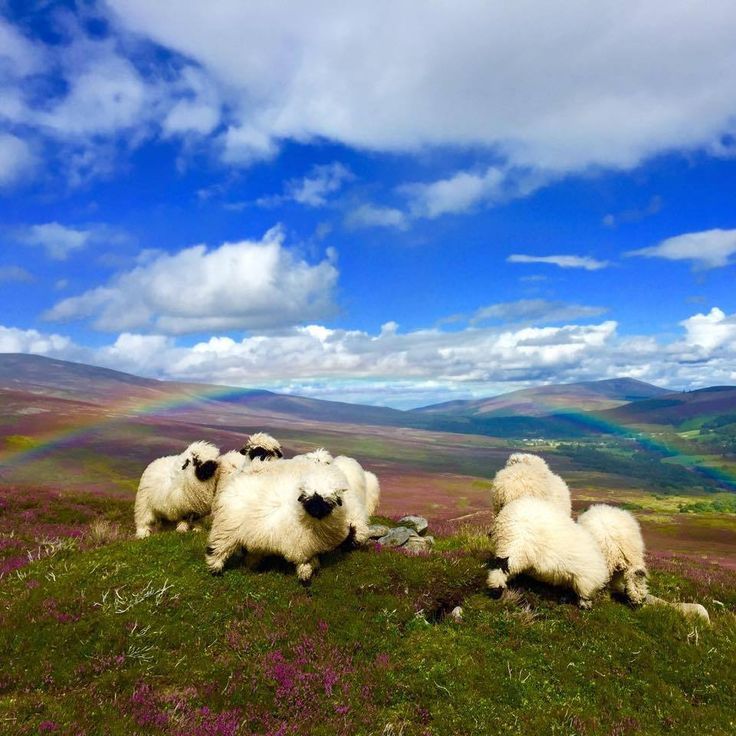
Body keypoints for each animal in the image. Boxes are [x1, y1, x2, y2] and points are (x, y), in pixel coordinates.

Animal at [205, 457, 353, 582]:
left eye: (327, 501)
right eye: (309, 499)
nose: (316, 511)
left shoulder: (311, 544)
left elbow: (313, 558)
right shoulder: (300, 543)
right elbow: (303, 561)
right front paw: (305, 576)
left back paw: (252, 564)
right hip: (226, 529)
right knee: (217, 549)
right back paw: (215, 570)